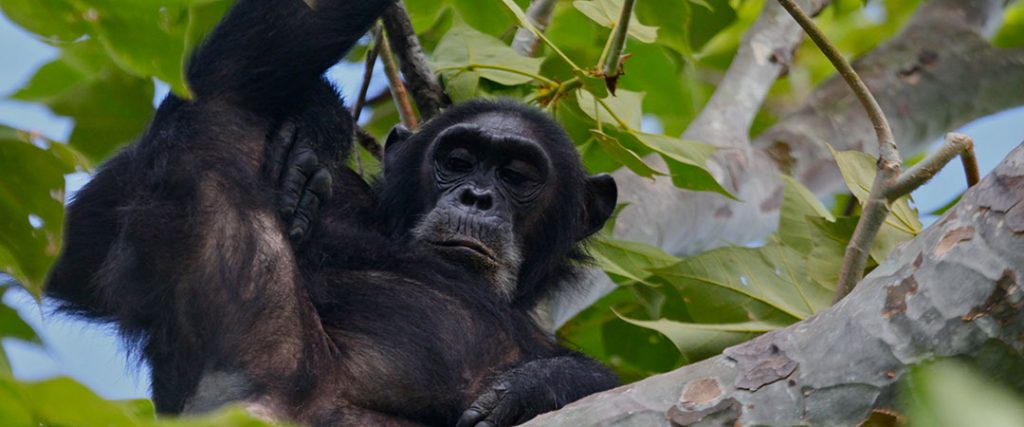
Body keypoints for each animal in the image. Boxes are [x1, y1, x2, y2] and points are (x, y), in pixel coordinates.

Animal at [44, 0, 618, 421]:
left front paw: (540, 383)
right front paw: (316, 125)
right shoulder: (340, 200)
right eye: (457, 161)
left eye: (516, 176)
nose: (476, 196)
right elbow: (76, 258)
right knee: (222, 98)